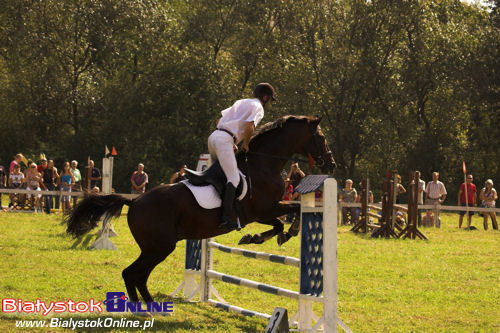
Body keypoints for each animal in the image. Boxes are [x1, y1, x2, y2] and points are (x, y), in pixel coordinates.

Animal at [66, 115, 336, 304]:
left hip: (155, 248)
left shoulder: (263, 213)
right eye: (322, 138)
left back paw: (146, 306)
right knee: (133, 274)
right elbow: (290, 214)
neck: (264, 163)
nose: (331, 164)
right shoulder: (265, 210)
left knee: (135, 275)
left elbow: (283, 219)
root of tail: (134, 202)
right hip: (159, 247)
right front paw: (274, 235)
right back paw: (147, 308)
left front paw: (255, 237)